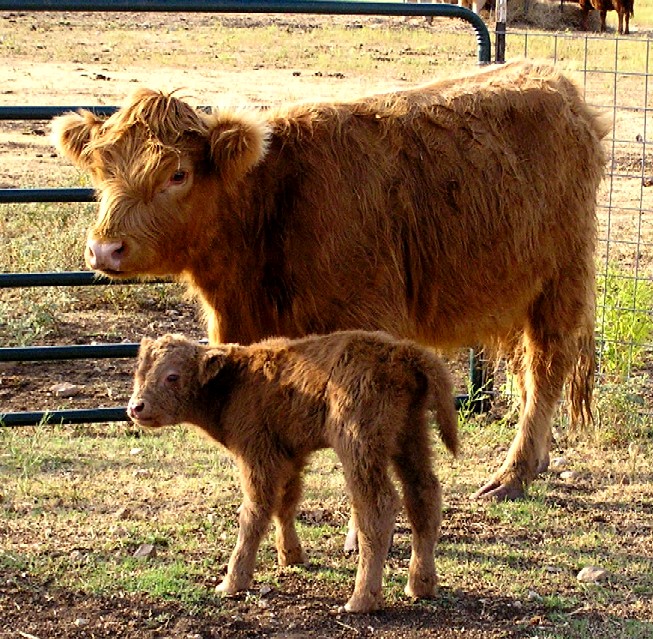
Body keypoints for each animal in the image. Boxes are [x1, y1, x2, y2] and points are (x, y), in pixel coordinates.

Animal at [51, 60, 608, 509]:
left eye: (177, 173)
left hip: (561, 283)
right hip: (516, 289)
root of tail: (557, 84)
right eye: (101, 170)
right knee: (525, 370)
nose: (105, 249)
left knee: (545, 368)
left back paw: (513, 474)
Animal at [128, 331, 458, 612]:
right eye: (139, 373)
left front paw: (231, 583)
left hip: (359, 448)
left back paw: (361, 600)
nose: (135, 407)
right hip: (411, 439)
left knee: (377, 506)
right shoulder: (290, 456)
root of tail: (404, 351)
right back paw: (420, 586)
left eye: (172, 376)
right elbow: (285, 504)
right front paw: (292, 557)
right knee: (423, 496)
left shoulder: (257, 456)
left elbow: (254, 512)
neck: (234, 381)